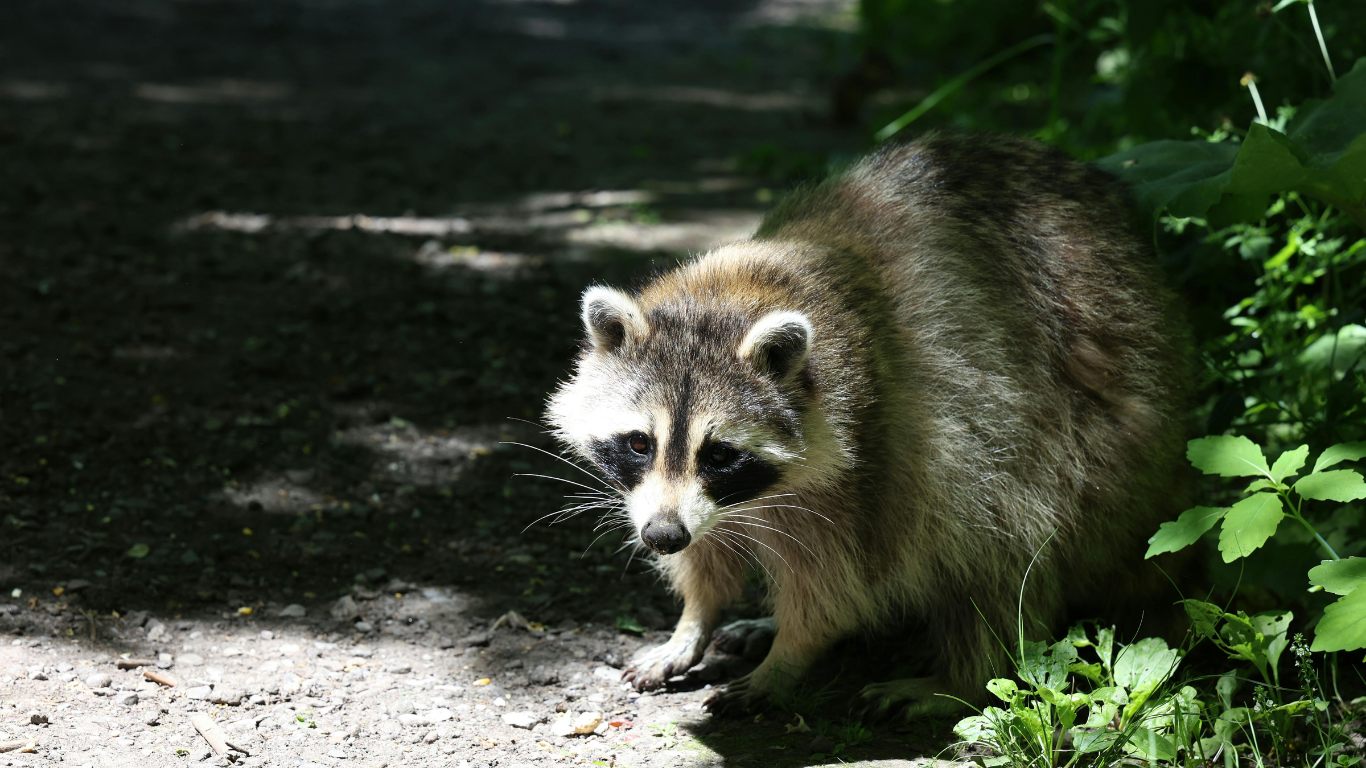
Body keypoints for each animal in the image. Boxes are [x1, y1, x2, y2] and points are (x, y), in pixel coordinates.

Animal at [545, 132, 1191, 715]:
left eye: (721, 454)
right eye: (638, 442)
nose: (661, 536)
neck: (733, 292)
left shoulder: (883, 449)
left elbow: (845, 580)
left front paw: (789, 654)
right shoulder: (690, 500)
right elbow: (707, 553)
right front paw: (694, 620)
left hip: (1093, 449)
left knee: (1002, 529)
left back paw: (962, 677)